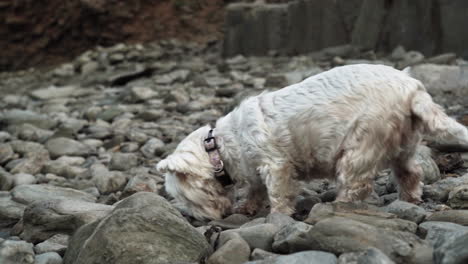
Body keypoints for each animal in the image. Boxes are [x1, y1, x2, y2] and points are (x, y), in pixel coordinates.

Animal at [156, 64, 468, 221]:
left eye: (183, 198)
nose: (201, 221)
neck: (219, 147)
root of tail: (412, 88)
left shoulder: (275, 165)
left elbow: (278, 193)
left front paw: (277, 216)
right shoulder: (254, 170)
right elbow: (256, 191)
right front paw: (247, 208)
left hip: (361, 143)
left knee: (355, 184)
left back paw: (336, 207)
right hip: (403, 143)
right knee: (411, 172)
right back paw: (409, 200)